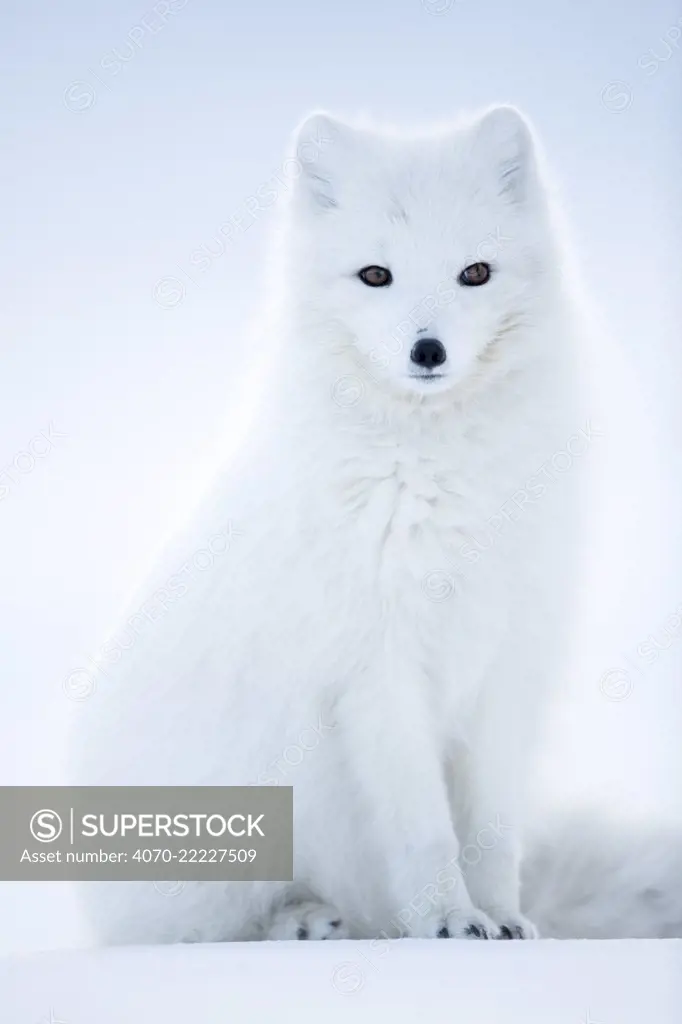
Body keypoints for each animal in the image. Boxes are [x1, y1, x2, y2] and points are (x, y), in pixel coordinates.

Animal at [71, 105, 675, 942]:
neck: (440, 476)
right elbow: (424, 830)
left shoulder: (505, 664)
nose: (428, 350)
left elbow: (490, 830)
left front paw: (502, 920)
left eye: (475, 273)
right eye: (375, 276)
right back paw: (304, 922)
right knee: (207, 928)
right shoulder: (376, 671)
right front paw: (450, 922)